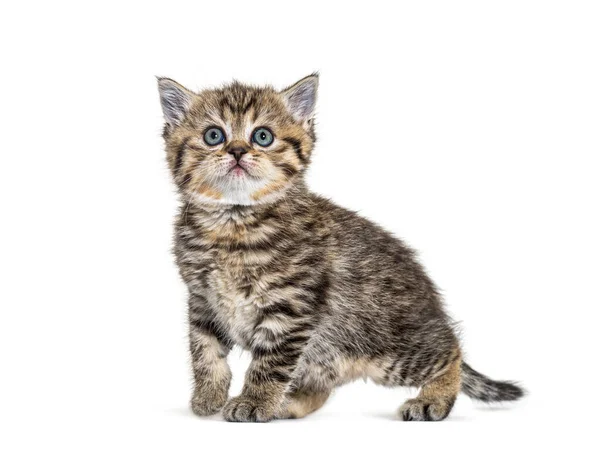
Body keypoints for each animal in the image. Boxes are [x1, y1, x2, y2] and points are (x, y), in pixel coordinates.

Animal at [157, 74, 524, 420]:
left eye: (262, 136)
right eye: (213, 136)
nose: (236, 151)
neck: (233, 225)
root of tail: (433, 308)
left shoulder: (291, 307)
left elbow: (270, 364)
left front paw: (255, 401)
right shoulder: (203, 302)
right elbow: (205, 352)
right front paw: (209, 396)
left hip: (389, 350)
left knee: (451, 351)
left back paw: (432, 400)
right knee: (320, 388)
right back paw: (287, 404)